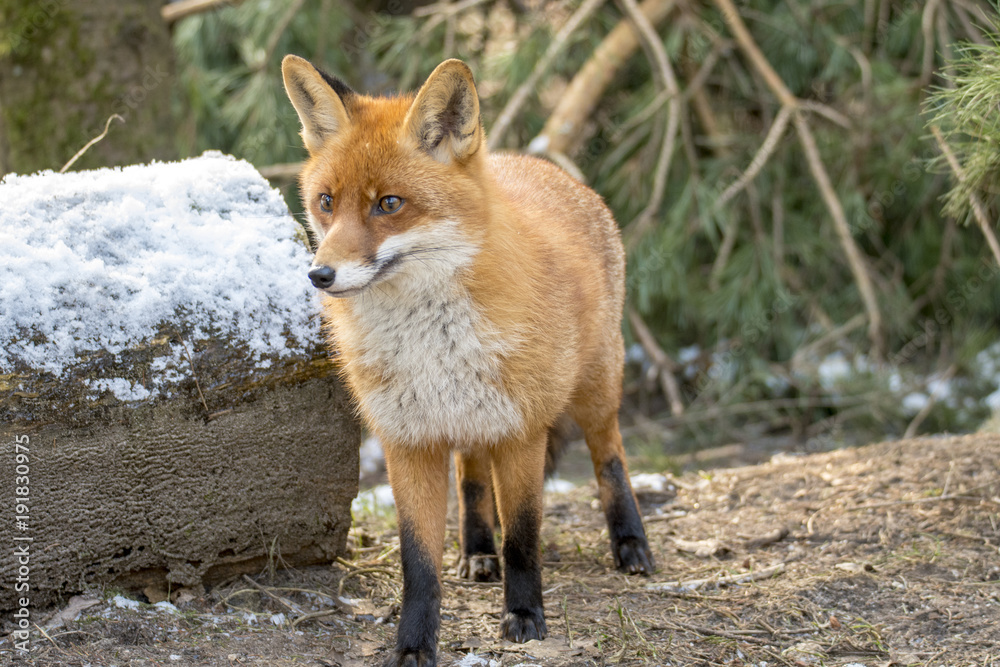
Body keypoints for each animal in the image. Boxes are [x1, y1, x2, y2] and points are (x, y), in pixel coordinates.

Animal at [281, 55, 655, 667]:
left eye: (389, 204)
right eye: (326, 202)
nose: (320, 275)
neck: (432, 348)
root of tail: (539, 163)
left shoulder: (522, 430)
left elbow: (523, 537)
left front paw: (525, 616)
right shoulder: (408, 439)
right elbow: (418, 562)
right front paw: (414, 644)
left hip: (595, 390)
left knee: (611, 459)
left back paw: (631, 544)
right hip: (472, 419)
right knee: (472, 478)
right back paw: (478, 553)